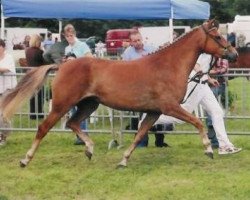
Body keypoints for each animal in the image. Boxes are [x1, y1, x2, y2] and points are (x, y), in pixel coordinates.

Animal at [0, 20, 237, 167]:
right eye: (217, 36)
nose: (233, 54)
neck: (168, 66)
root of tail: (62, 65)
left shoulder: (154, 112)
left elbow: (140, 134)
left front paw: (123, 161)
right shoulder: (170, 107)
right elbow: (197, 122)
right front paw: (209, 150)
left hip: (89, 104)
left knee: (73, 123)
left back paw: (89, 149)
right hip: (62, 105)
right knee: (44, 127)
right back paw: (25, 160)